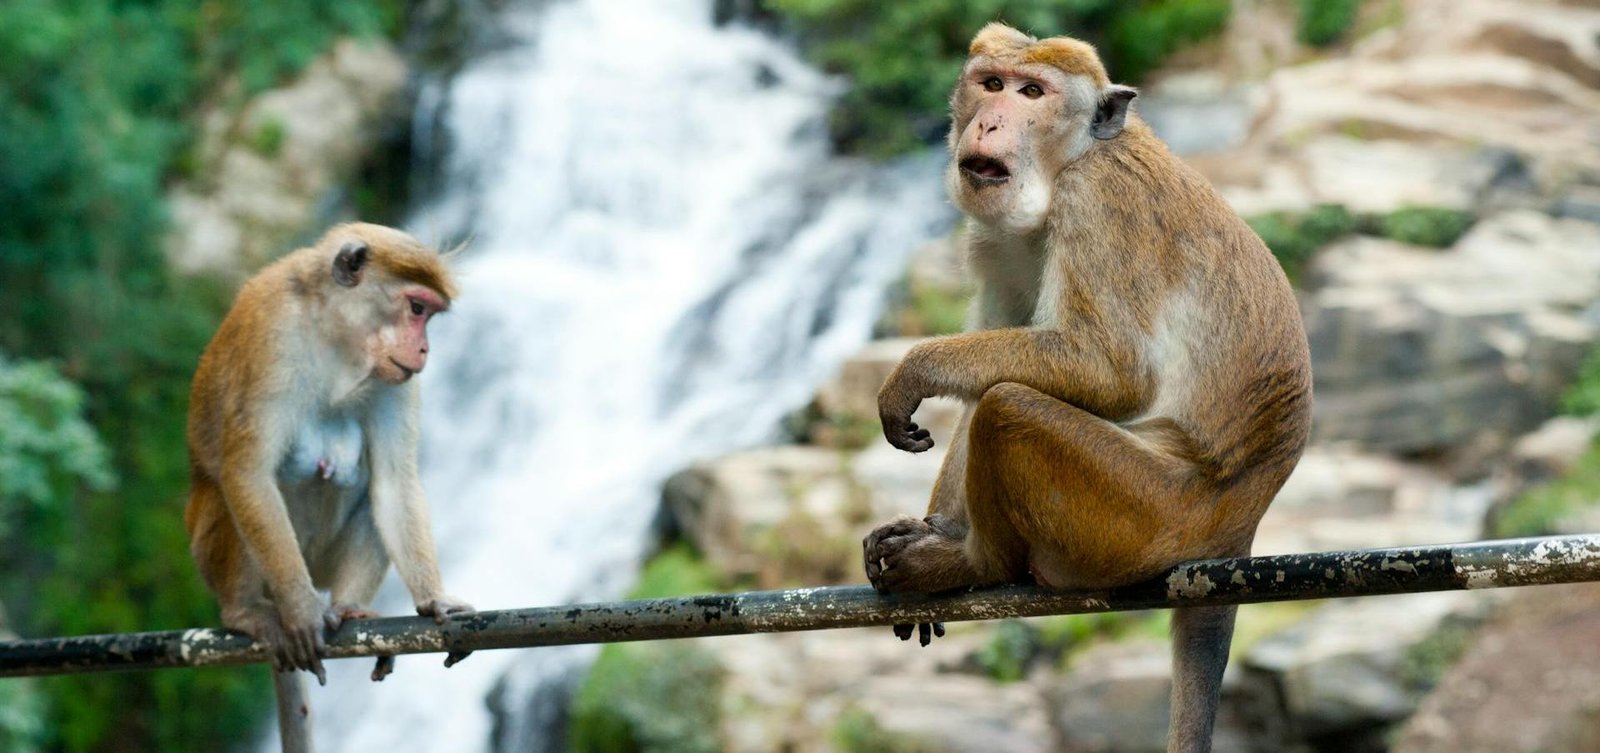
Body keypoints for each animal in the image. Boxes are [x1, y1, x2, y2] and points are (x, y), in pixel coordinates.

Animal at [185, 222, 475, 752]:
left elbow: (395, 483)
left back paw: (351, 610)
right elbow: (248, 473)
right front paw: (302, 612)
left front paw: (435, 598)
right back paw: (248, 612)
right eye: (416, 308)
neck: (336, 339)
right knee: (228, 493)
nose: (425, 350)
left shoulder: (394, 379)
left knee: (373, 496)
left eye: (428, 316)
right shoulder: (274, 335)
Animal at [861, 24, 1311, 753]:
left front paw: (915, 370)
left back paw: (973, 563)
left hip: (1145, 515)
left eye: (1031, 93)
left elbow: (1110, 369)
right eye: (991, 83)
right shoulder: (995, 241)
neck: (1066, 165)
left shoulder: (1097, 200)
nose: (990, 120)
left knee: (1009, 409)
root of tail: (1240, 526)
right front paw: (931, 525)